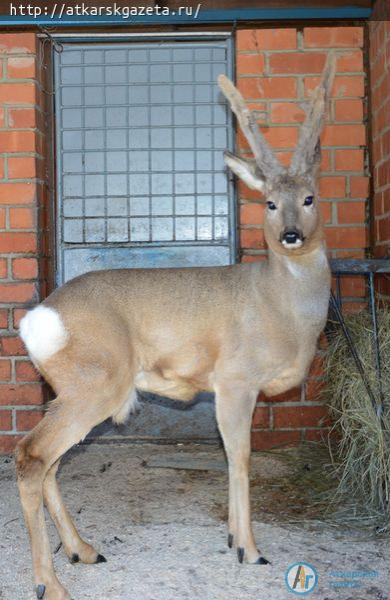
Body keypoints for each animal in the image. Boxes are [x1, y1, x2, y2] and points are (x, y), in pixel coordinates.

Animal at [16, 54, 336, 596]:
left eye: (310, 198)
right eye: (270, 203)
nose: (291, 235)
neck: (281, 307)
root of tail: (38, 318)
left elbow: (233, 457)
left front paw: (232, 539)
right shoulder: (235, 379)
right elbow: (240, 457)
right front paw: (249, 550)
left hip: (71, 389)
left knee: (51, 463)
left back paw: (84, 550)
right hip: (96, 383)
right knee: (31, 456)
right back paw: (50, 583)